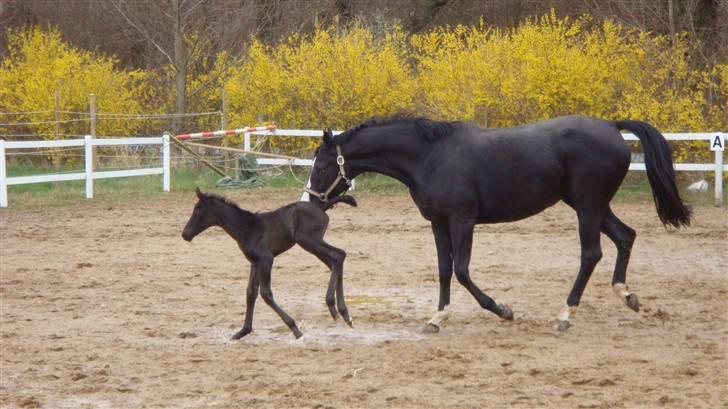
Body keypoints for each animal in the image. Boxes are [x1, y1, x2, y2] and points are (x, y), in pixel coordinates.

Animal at [181, 187, 354, 338]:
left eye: (198, 210)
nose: (185, 234)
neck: (247, 228)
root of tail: (322, 207)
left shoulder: (266, 259)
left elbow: (265, 294)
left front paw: (294, 328)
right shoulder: (254, 262)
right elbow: (250, 293)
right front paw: (243, 331)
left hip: (308, 240)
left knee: (338, 255)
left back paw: (333, 307)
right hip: (312, 243)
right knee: (336, 260)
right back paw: (344, 314)